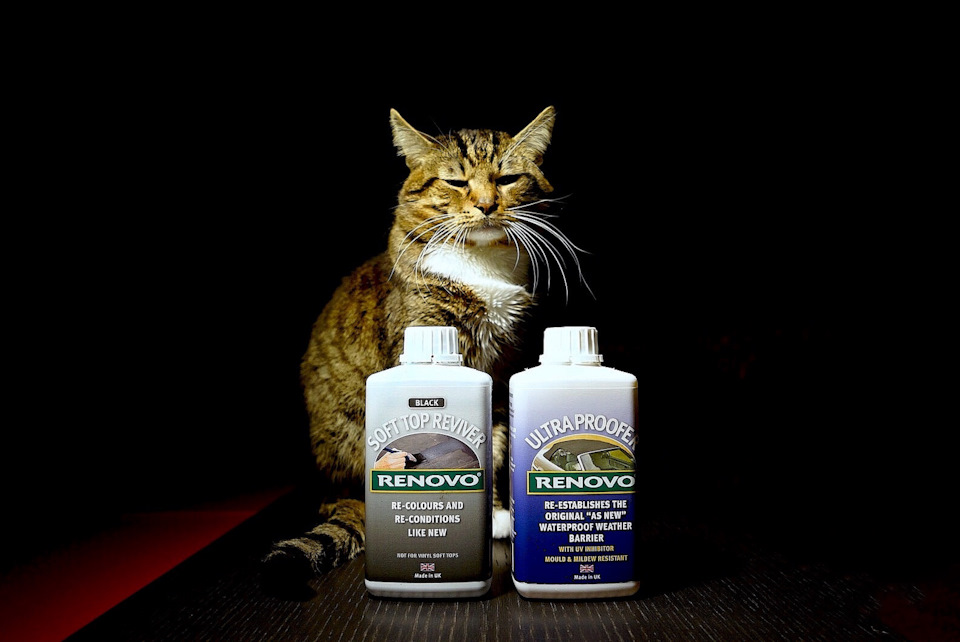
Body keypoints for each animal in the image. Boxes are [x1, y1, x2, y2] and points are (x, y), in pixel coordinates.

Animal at [262, 105, 586, 582]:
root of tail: (337, 490)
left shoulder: (501, 367)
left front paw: (495, 512)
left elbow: (496, 442)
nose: (486, 204)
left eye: (508, 178)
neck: (481, 263)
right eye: (456, 182)